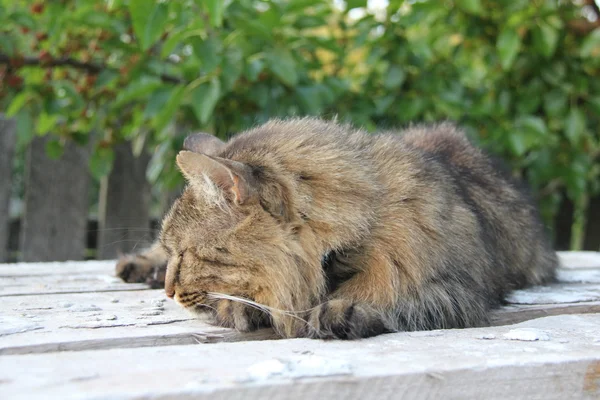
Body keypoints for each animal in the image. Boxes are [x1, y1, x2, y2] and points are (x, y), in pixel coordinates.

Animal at [116, 117, 556, 340]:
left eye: (186, 254)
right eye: (174, 250)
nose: (169, 291)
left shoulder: (455, 290)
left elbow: (393, 298)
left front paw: (343, 308)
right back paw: (139, 267)